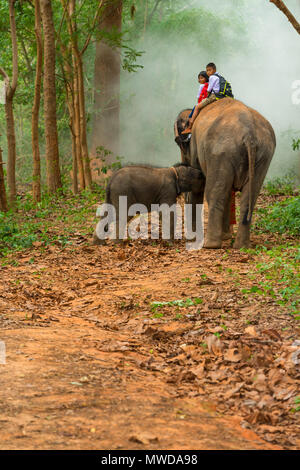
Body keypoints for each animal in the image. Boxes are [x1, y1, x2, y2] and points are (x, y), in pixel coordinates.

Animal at [175, 97, 276, 248]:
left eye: (178, 143)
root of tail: (250, 135)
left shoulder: (194, 147)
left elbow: (198, 185)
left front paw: (193, 237)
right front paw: (226, 236)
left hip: (221, 151)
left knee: (214, 193)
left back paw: (210, 245)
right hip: (263, 155)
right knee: (248, 197)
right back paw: (241, 246)